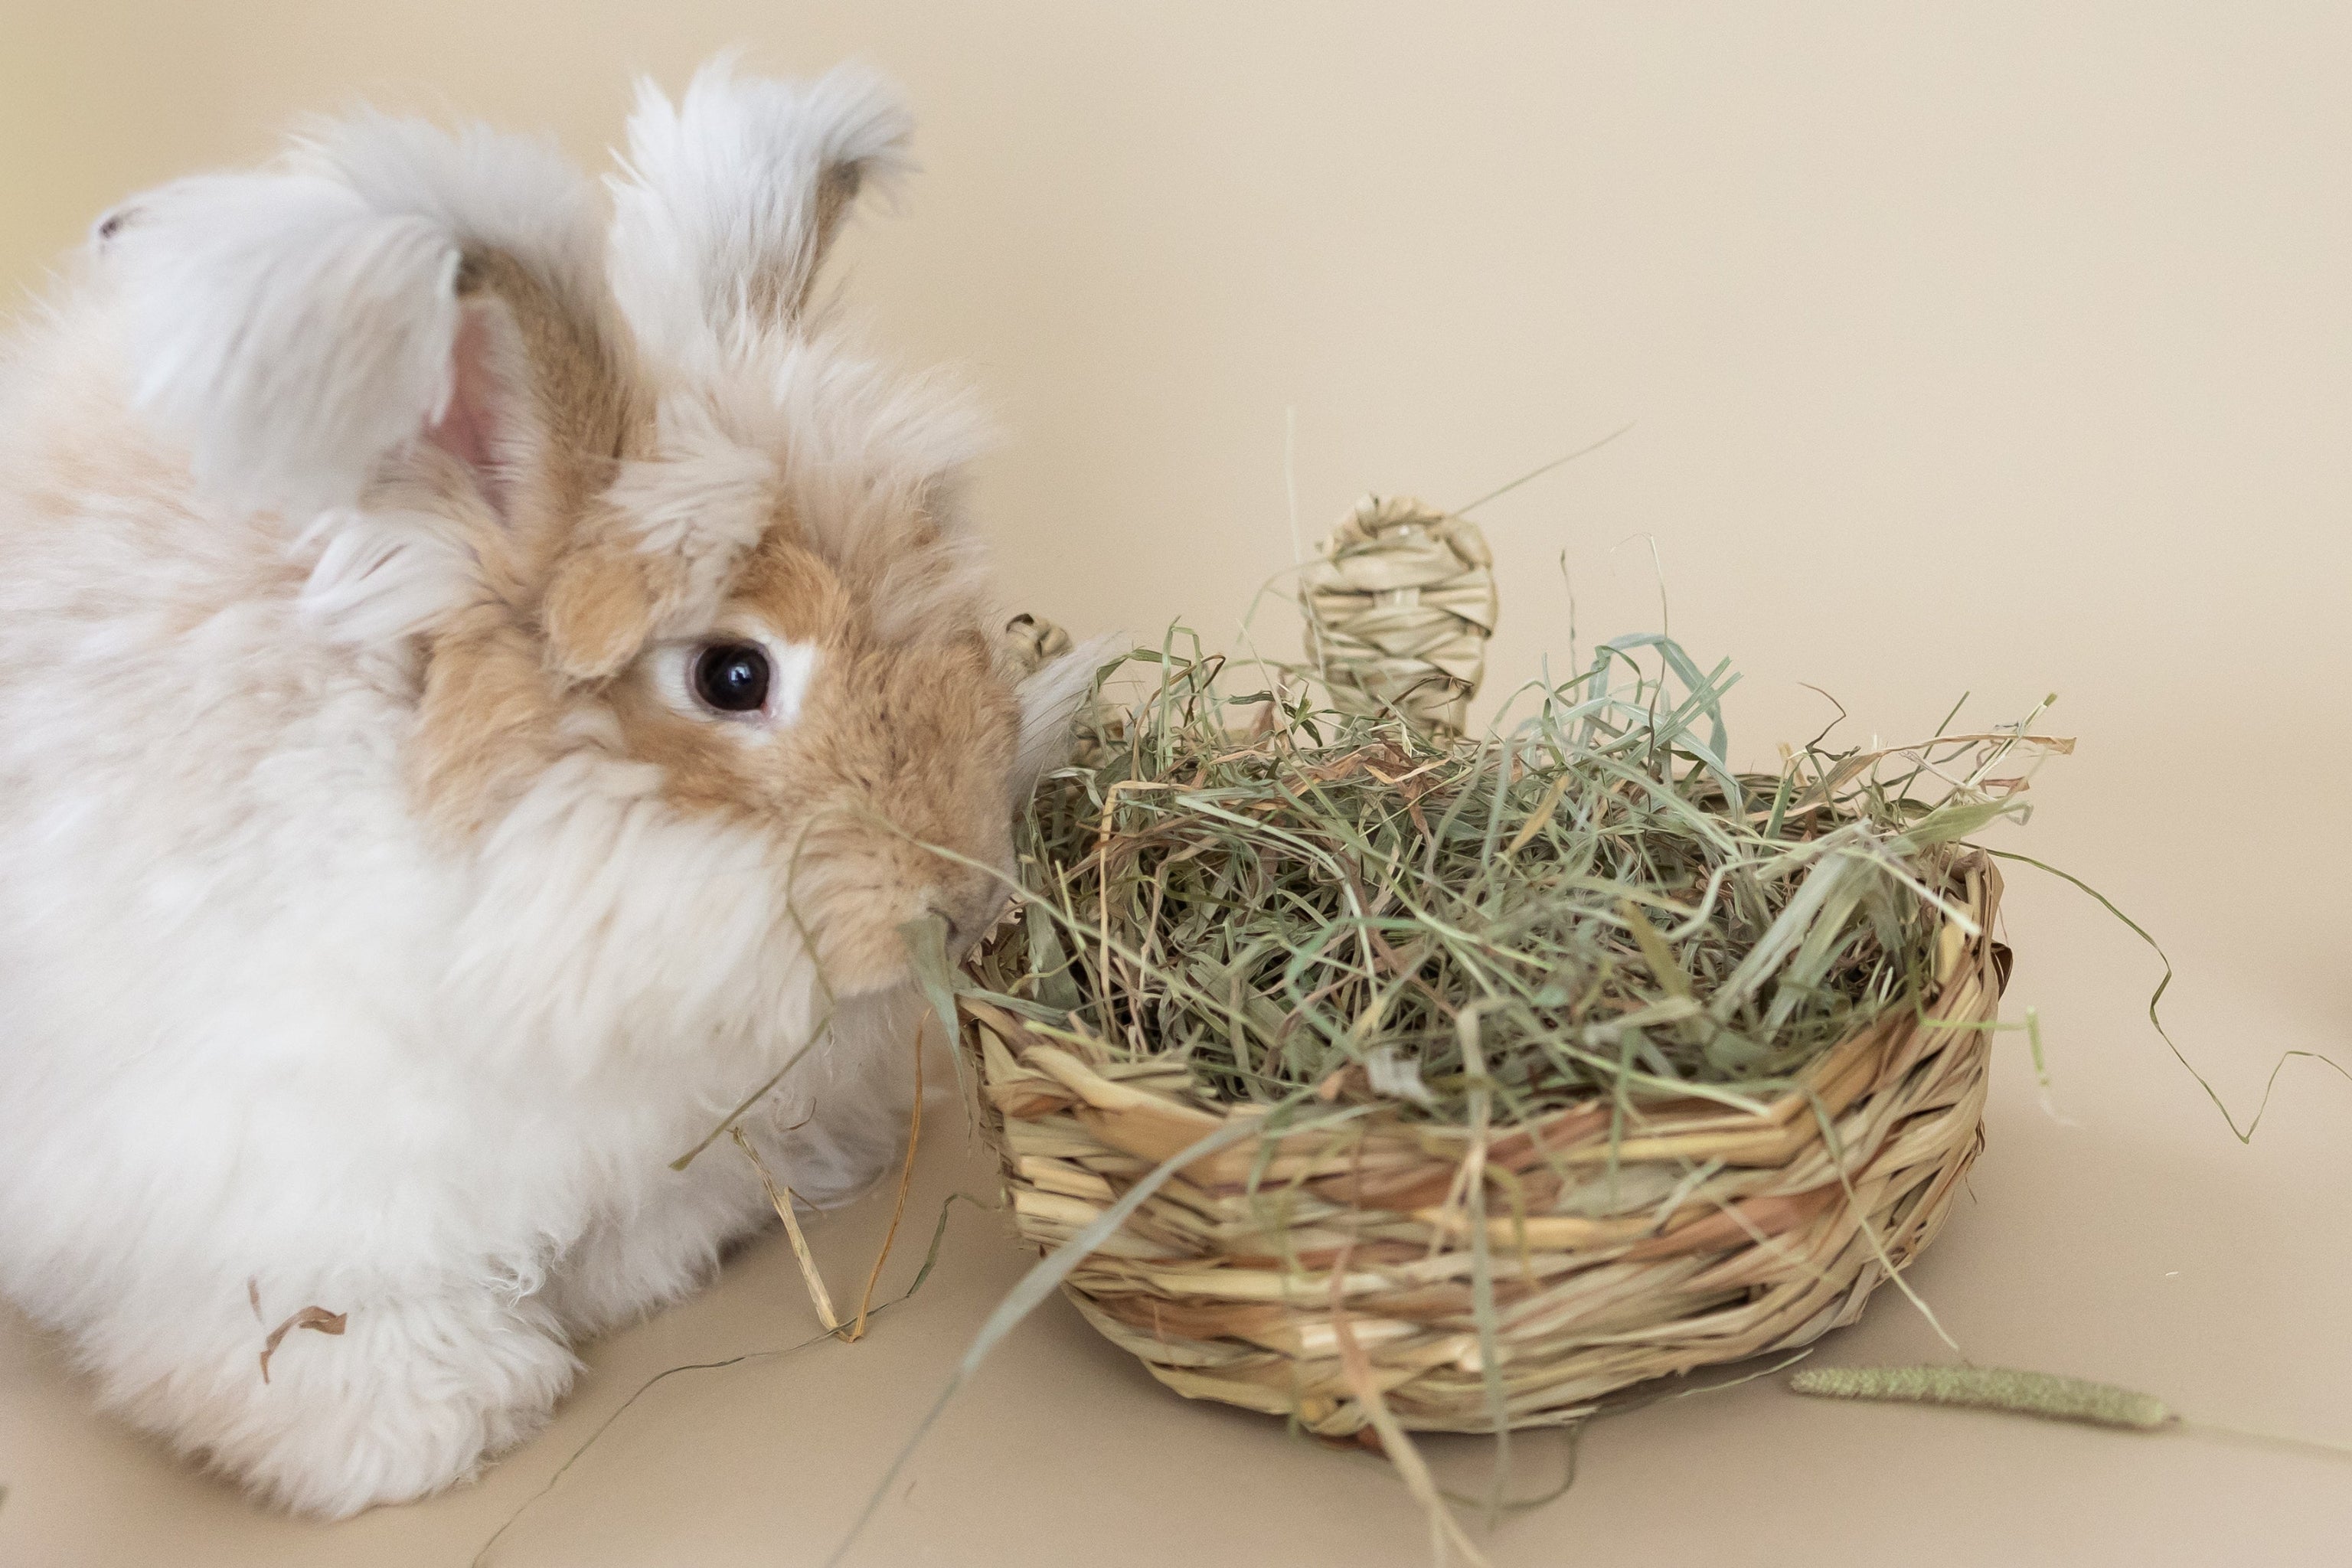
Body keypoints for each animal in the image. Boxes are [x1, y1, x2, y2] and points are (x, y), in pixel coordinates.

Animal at [0, 57, 1101, 1518]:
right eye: (733, 674)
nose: (964, 888)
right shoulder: (264, 1178)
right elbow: (316, 1331)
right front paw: (432, 1426)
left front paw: (643, 1272)